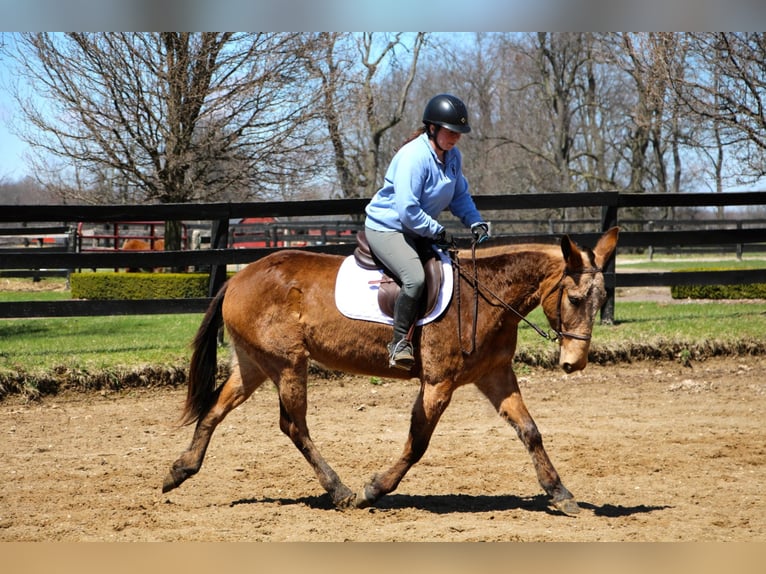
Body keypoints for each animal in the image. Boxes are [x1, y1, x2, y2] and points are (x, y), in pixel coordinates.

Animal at [165, 230, 620, 516]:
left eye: (600, 302)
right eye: (575, 298)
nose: (575, 363)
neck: (485, 294)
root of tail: (239, 276)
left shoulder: (495, 376)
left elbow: (530, 432)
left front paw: (560, 493)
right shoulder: (438, 384)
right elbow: (417, 443)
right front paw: (374, 490)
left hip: (254, 364)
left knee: (216, 409)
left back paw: (181, 470)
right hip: (288, 363)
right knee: (293, 425)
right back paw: (340, 490)